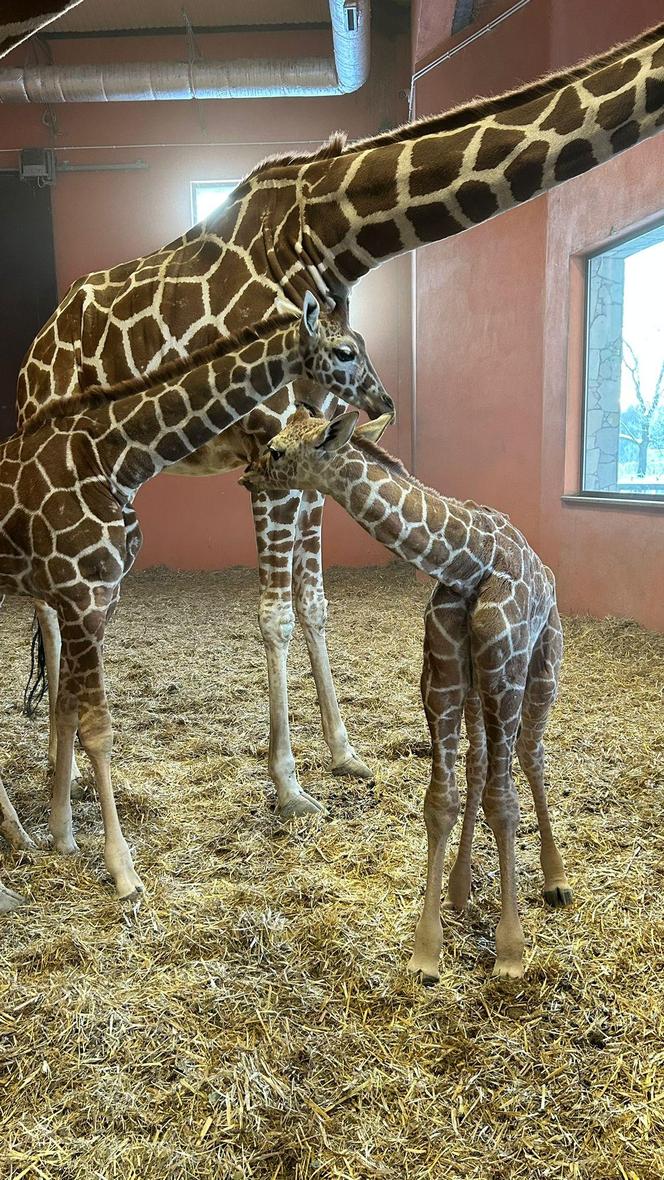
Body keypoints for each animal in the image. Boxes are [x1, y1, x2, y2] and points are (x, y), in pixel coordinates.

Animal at [15, 20, 664, 811]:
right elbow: (274, 613)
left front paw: (345, 753)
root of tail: (35, 350)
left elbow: (316, 604)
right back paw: (71, 772)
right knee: (49, 607)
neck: (329, 230)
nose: (386, 401)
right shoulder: (266, 453)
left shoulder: (313, 447)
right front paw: (290, 784)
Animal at [242, 410, 570, 981]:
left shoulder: (505, 674)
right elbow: (442, 800)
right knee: (480, 764)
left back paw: (555, 882)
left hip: (542, 665)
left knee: (531, 755)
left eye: (278, 450)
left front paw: (510, 951)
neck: (467, 564)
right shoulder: (441, 680)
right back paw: (460, 889)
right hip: (477, 690)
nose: (247, 475)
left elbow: (505, 802)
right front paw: (427, 950)